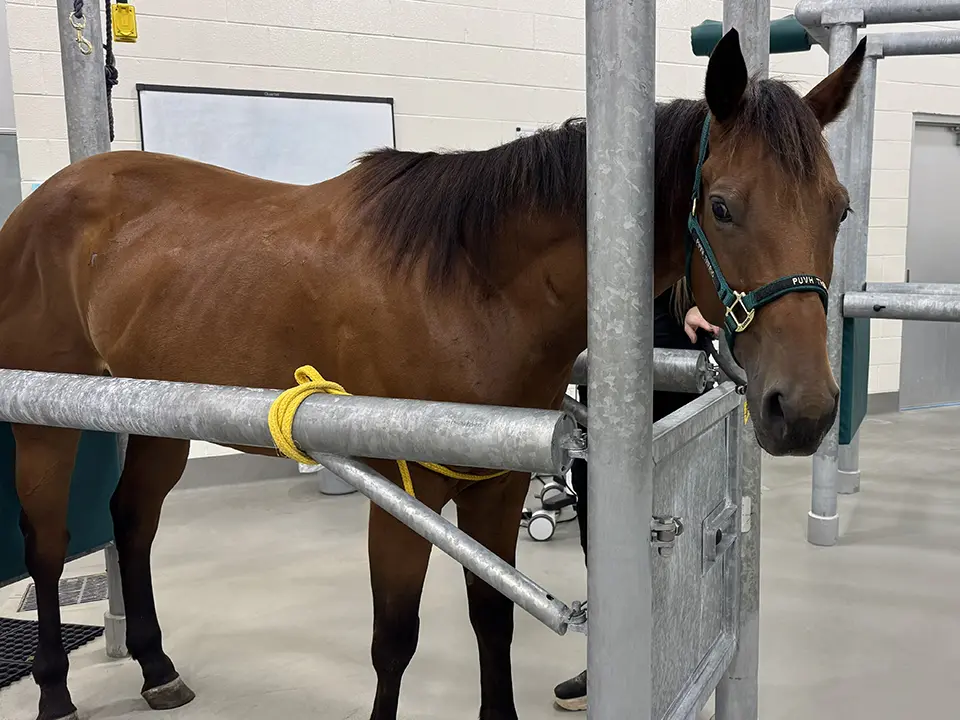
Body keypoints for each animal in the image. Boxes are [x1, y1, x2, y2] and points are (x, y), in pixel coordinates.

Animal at [0, 29, 863, 720]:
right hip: (46, 423)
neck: (467, 284)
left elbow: (492, 620)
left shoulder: (496, 487)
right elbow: (395, 640)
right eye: (722, 207)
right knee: (47, 546)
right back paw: (53, 692)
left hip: (161, 419)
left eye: (841, 210)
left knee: (132, 522)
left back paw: (155, 667)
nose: (804, 411)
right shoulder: (400, 489)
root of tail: (43, 203)